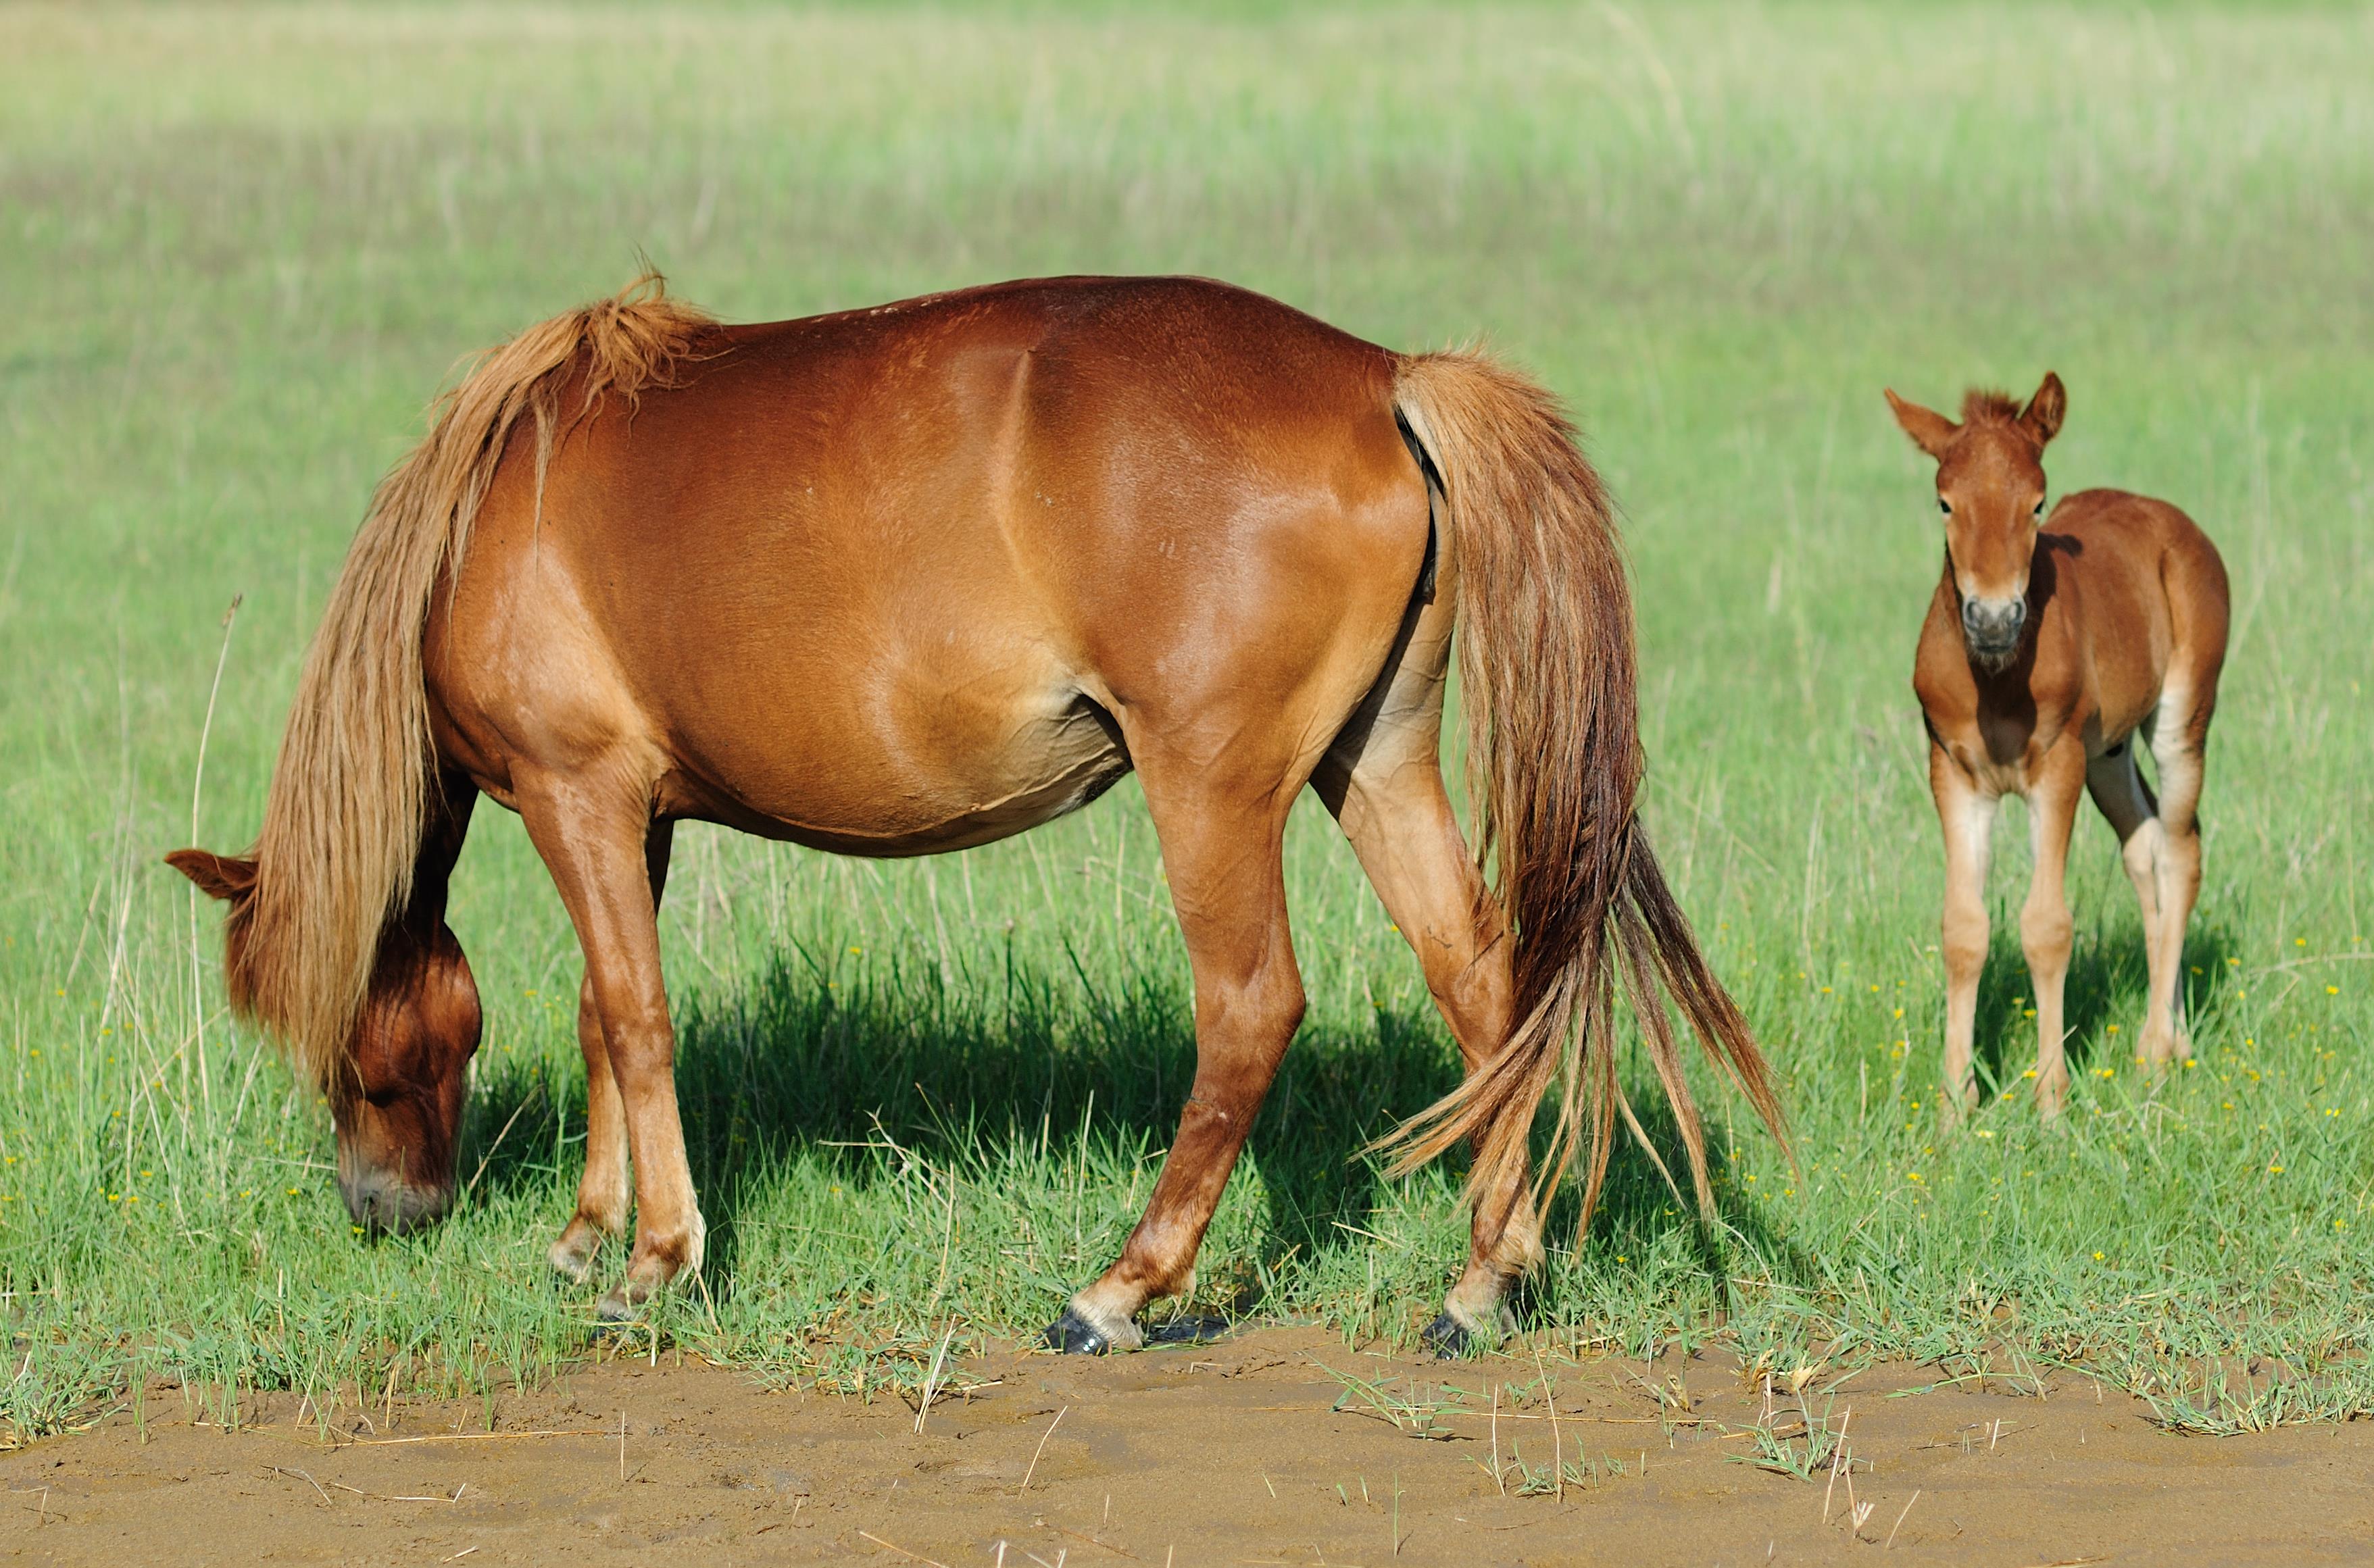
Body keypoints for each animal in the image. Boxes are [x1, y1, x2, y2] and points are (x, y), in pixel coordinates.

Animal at [170, 273, 1783, 1354]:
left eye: (333, 1038)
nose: (381, 1208)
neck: (494, 511)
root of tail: (1382, 375)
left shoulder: (580, 795)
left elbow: (632, 1014)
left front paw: (653, 1262)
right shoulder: (640, 815)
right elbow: (597, 1015)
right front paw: (585, 1233)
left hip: (1212, 792)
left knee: (1251, 1006)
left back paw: (1122, 1286)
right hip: (1372, 764)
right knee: (1485, 987)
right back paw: (1481, 1280)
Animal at [1886, 373, 2229, 1118]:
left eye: (2037, 503)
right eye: (1945, 502)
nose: (1992, 620)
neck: (1997, 678)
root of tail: (2174, 522)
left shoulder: (2058, 764)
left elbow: (2046, 926)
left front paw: (2049, 1101)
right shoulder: (1953, 771)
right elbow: (1963, 929)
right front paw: (1954, 1107)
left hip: (2180, 720)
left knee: (2181, 848)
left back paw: (2153, 1051)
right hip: (2109, 756)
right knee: (2145, 846)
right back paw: (2176, 1037)